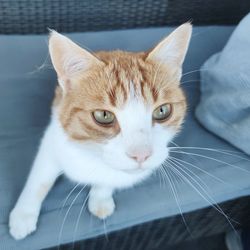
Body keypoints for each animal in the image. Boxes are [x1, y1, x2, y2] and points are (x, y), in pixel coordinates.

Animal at [7, 23, 191, 240]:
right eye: (104, 115)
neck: (90, 154)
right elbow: (40, 180)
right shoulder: (51, 141)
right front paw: (23, 214)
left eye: (162, 111)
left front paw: (101, 198)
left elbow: (109, 178)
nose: (141, 155)